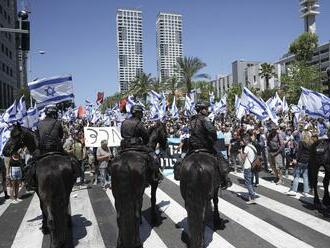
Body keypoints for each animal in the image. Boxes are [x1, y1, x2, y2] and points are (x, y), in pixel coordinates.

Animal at [111, 120, 168, 248]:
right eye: (165, 132)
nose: (166, 146)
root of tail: (125, 163)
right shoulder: (154, 183)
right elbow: (153, 199)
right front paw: (153, 218)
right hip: (136, 192)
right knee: (135, 214)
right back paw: (138, 242)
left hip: (117, 195)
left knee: (119, 216)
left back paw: (119, 242)